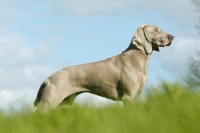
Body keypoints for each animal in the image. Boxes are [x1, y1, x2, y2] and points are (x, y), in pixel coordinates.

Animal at [33, 24, 173, 111]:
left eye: (161, 29)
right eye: (155, 30)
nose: (172, 37)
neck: (138, 58)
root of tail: (49, 78)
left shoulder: (136, 96)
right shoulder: (128, 96)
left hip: (64, 104)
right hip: (49, 102)